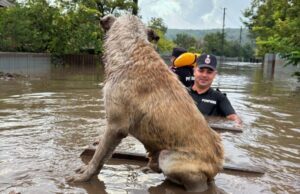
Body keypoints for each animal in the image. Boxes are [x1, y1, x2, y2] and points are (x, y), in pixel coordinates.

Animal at [67, 14, 223, 192]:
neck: (131, 51)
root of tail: (217, 166)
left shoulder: (116, 126)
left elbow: (98, 157)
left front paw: (84, 177)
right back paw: (150, 168)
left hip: (169, 159)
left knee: (197, 183)